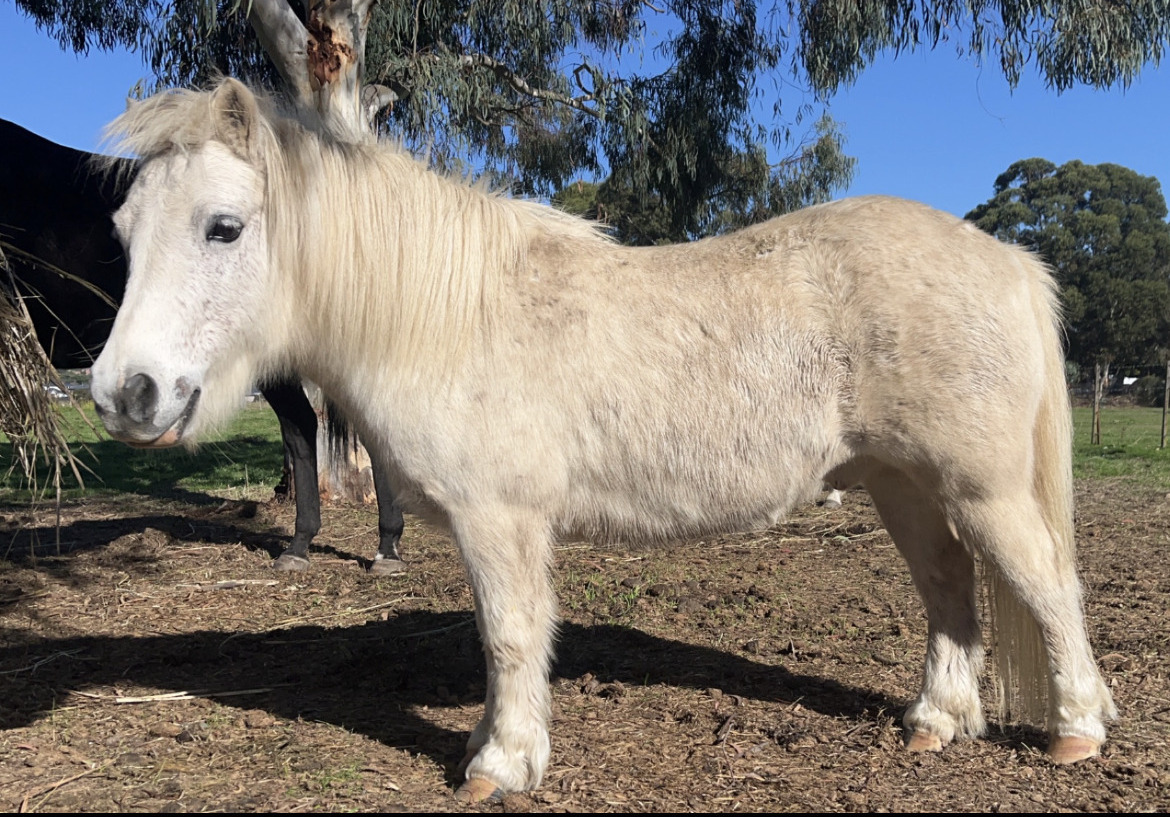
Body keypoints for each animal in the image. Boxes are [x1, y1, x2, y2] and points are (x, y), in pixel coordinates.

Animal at [89, 79, 1116, 801]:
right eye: (125, 230)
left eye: (224, 228)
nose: (123, 393)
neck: (448, 317)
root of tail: (1007, 257)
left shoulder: (500, 522)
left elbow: (509, 635)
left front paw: (501, 763)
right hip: (901, 482)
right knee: (949, 585)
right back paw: (936, 720)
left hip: (981, 487)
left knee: (1043, 585)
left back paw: (1075, 730)